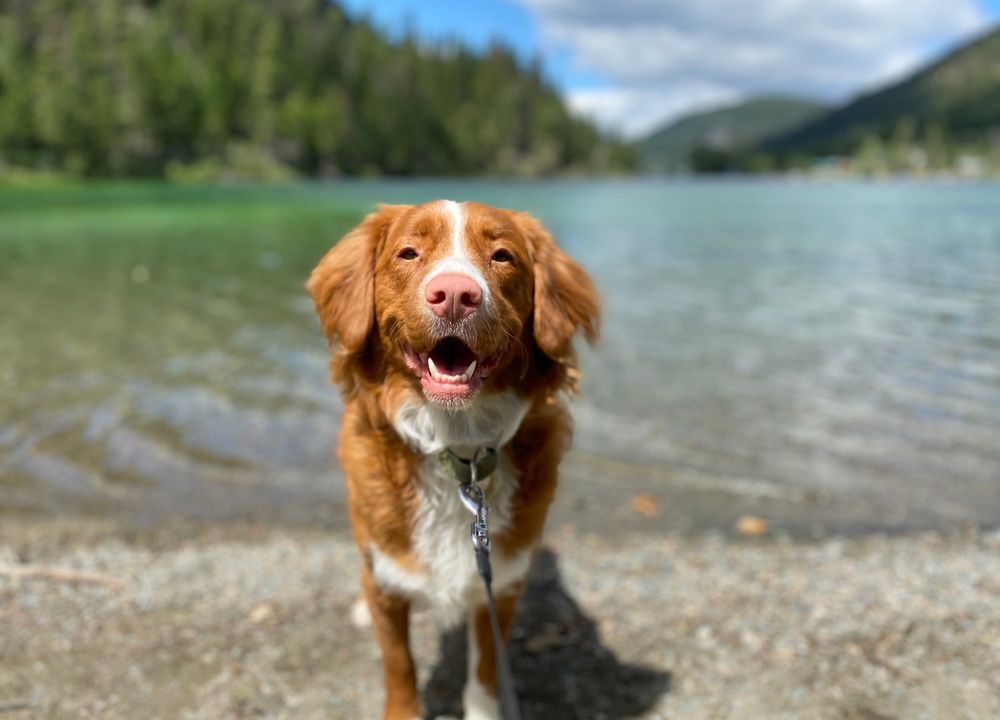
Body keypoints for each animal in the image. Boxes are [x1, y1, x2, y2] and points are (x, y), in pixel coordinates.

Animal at [308, 198, 596, 720]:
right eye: (408, 253)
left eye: (502, 256)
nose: (456, 295)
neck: (457, 448)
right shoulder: (389, 582)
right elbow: (399, 664)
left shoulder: (499, 588)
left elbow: (484, 673)